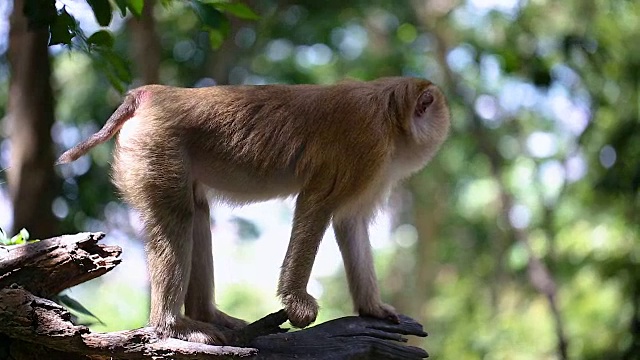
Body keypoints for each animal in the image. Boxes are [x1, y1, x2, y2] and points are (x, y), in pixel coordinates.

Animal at [58, 77, 450, 344]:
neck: (390, 116)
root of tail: (151, 93)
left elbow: (349, 222)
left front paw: (373, 308)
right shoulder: (366, 146)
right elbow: (316, 203)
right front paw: (298, 304)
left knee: (196, 212)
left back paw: (207, 315)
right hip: (156, 150)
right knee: (178, 218)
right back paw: (172, 325)